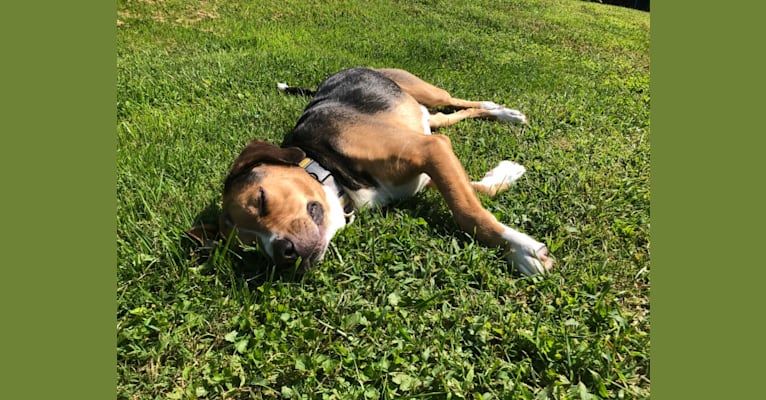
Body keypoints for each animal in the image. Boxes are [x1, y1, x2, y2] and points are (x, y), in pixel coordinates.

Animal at [190, 67, 552, 276]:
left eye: (261, 200)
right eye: (250, 247)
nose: (283, 253)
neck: (332, 169)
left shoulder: (432, 151)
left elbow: (467, 212)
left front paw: (521, 250)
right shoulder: (430, 168)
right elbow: (475, 193)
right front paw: (505, 174)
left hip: (424, 90)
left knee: (458, 102)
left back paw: (503, 112)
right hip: (427, 118)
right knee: (448, 117)